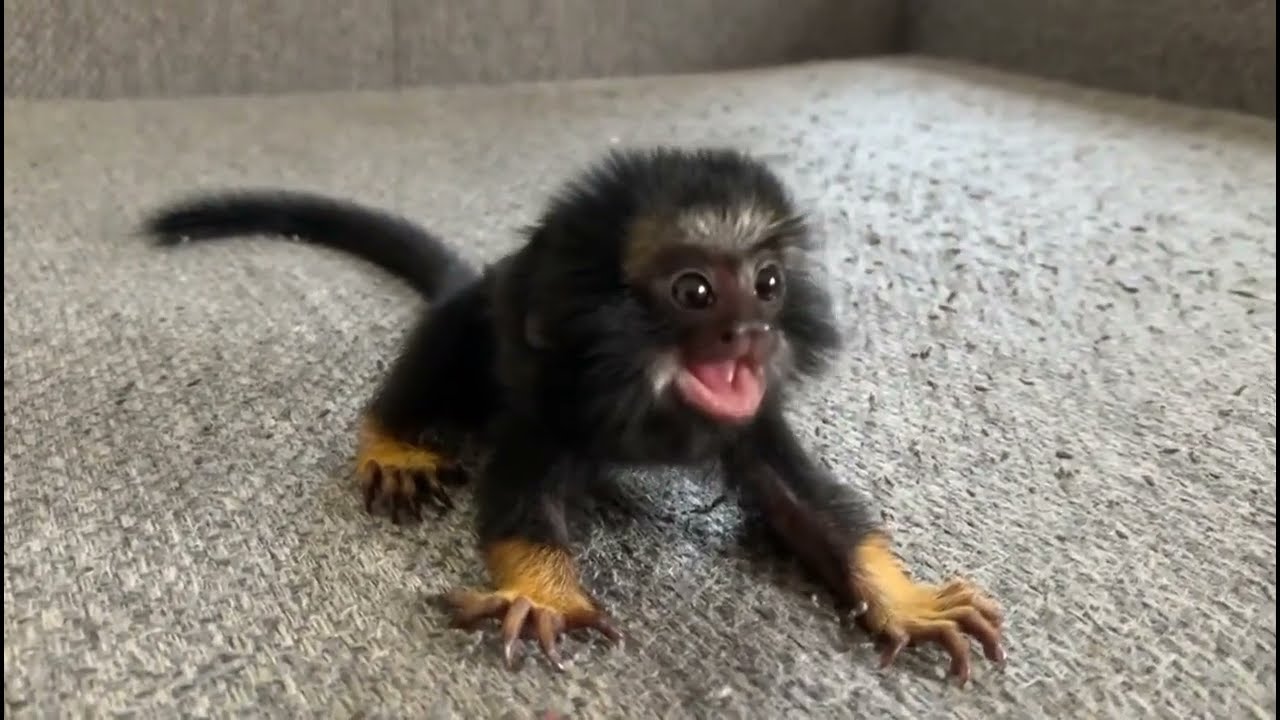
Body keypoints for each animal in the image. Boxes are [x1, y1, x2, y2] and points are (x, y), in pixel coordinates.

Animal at [142, 146, 1006, 684]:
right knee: (446, 337)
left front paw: (902, 599)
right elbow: (519, 508)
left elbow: (815, 510)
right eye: (695, 291)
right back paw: (392, 438)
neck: (653, 392)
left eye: (767, 284)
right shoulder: (556, 394)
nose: (752, 334)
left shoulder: (754, 416)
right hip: (474, 321)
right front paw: (545, 595)